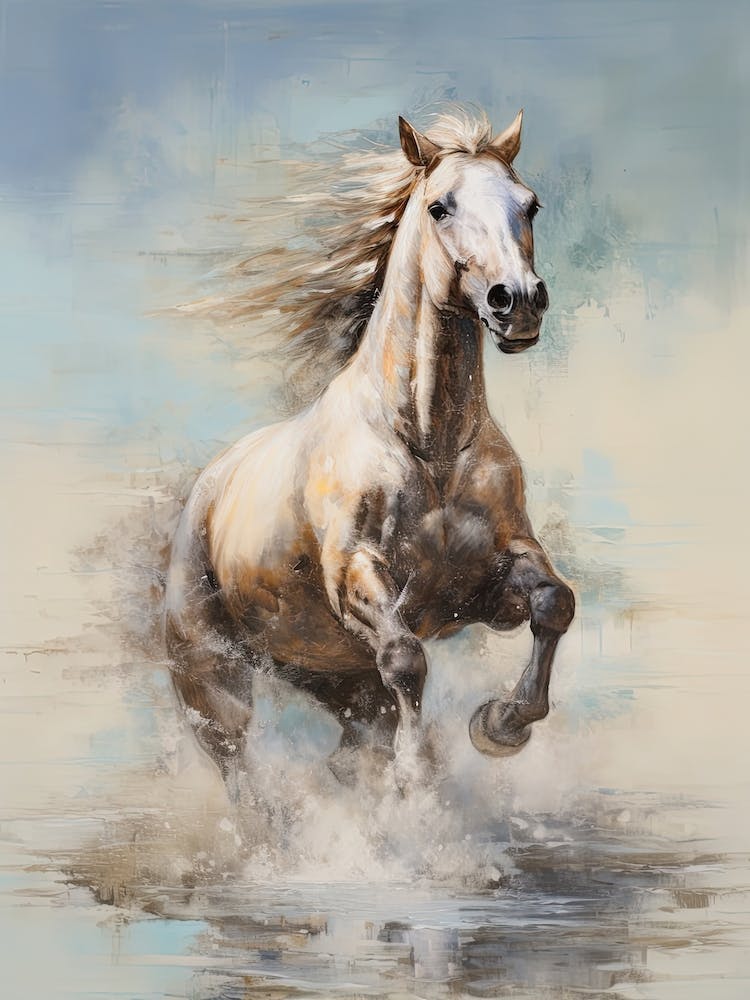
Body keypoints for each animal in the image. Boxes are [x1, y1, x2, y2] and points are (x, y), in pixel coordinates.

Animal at [165, 109, 575, 794]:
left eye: (531, 204)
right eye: (440, 207)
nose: (516, 301)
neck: (430, 445)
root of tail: (209, 487)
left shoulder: (492, 580)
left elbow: (554, 602)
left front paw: (499, 725)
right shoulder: (355, 576)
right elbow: (406, 657)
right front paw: (421, 773)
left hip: (334, 674)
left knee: (355, 741)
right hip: (211, 681)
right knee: (241, 769)